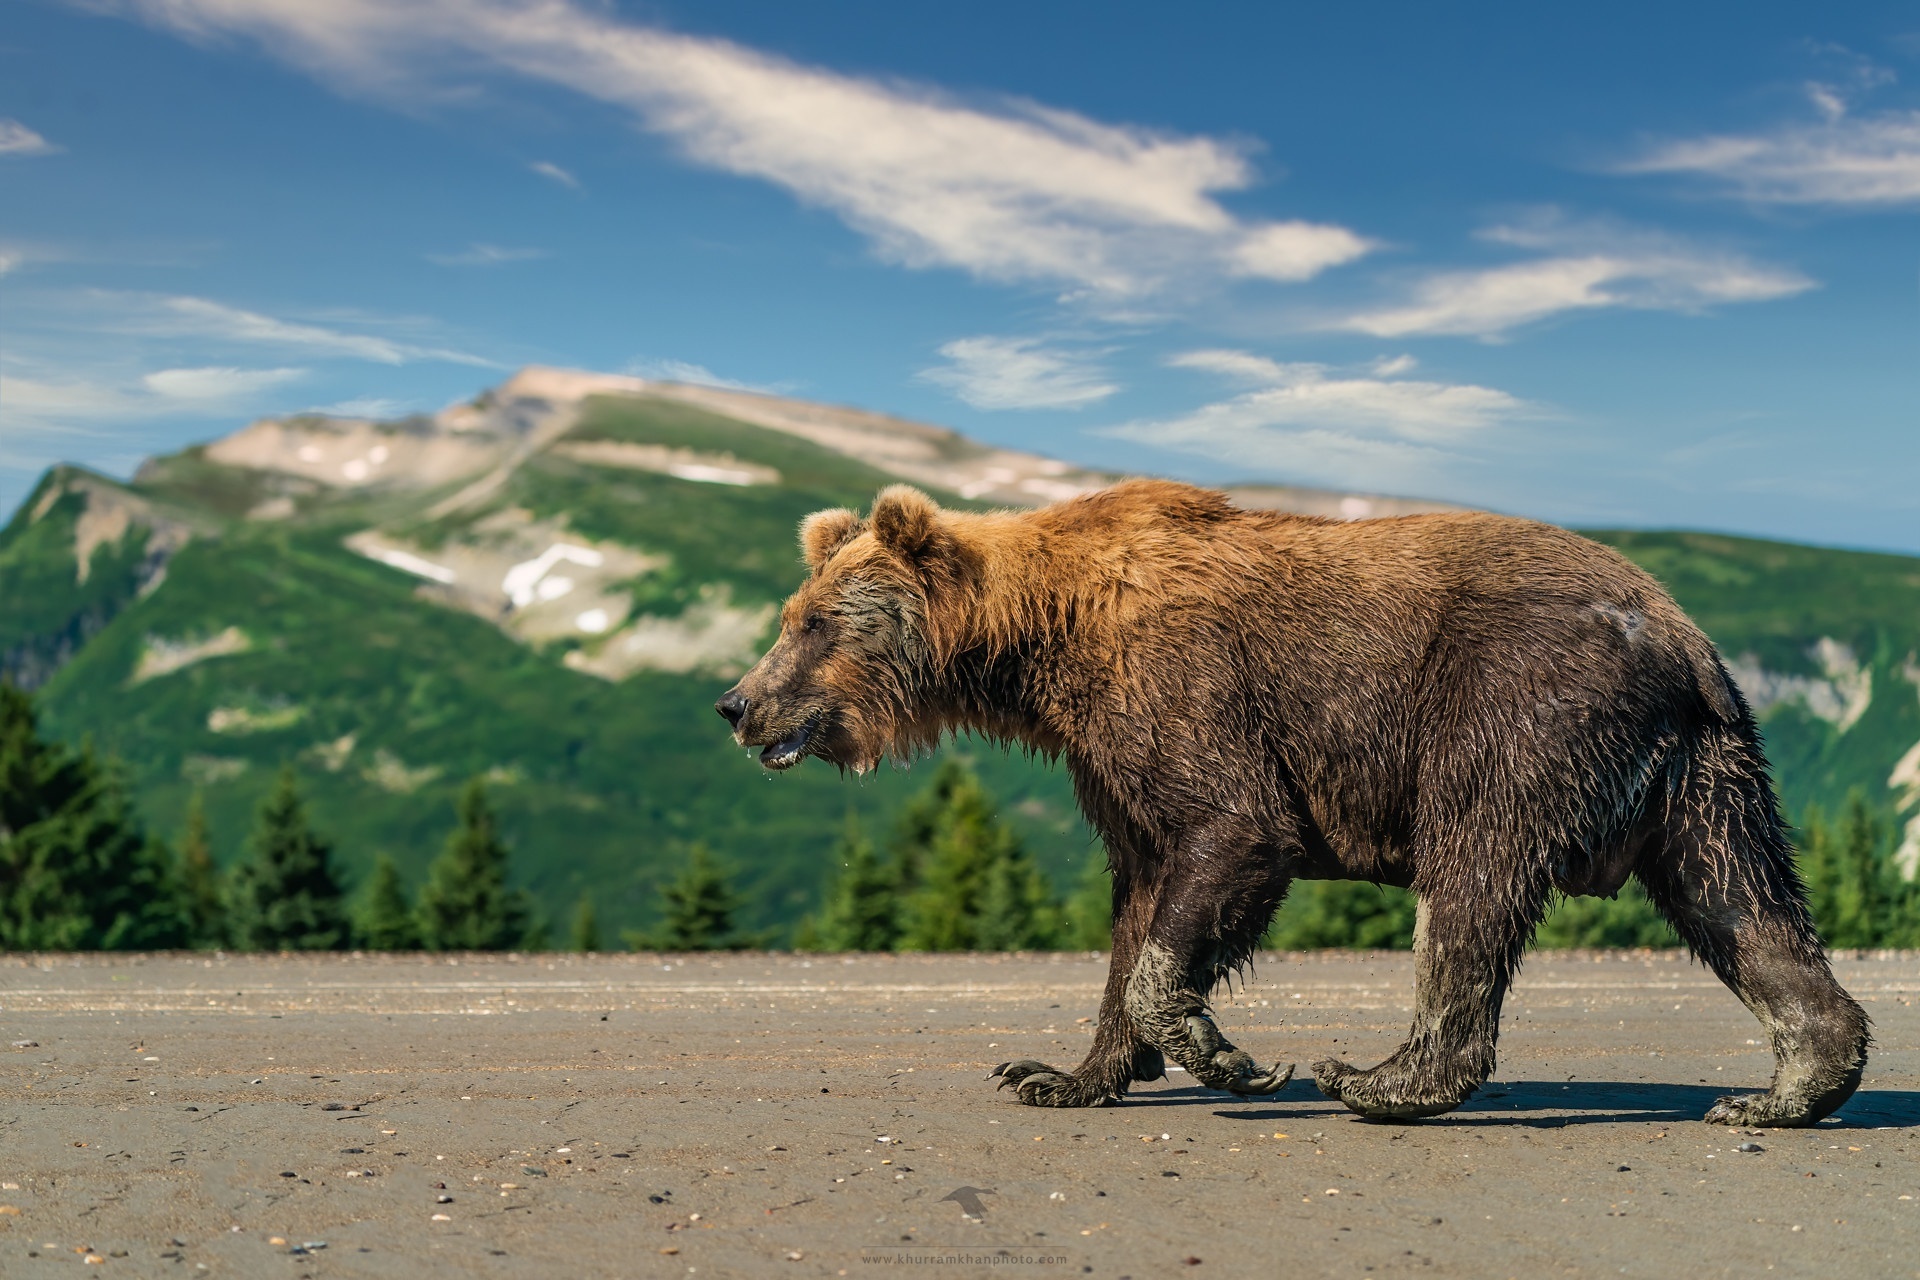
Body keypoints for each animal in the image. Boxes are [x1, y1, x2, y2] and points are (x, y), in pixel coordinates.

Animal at [715, 479, 1869, 1125]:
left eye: (816, 621)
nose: (736, 702)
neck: (1045, 644)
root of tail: (1684, 634)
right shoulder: (1111, 760)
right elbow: (1136, 900)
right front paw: (1061, 1072)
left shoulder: (1184, 688)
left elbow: (1232, 836)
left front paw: (1225, 1053)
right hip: (1702, 770)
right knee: (1740, 901)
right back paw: (1787, 1085)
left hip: (1516, 699)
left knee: (1473, 876)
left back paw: (1382, 1077)